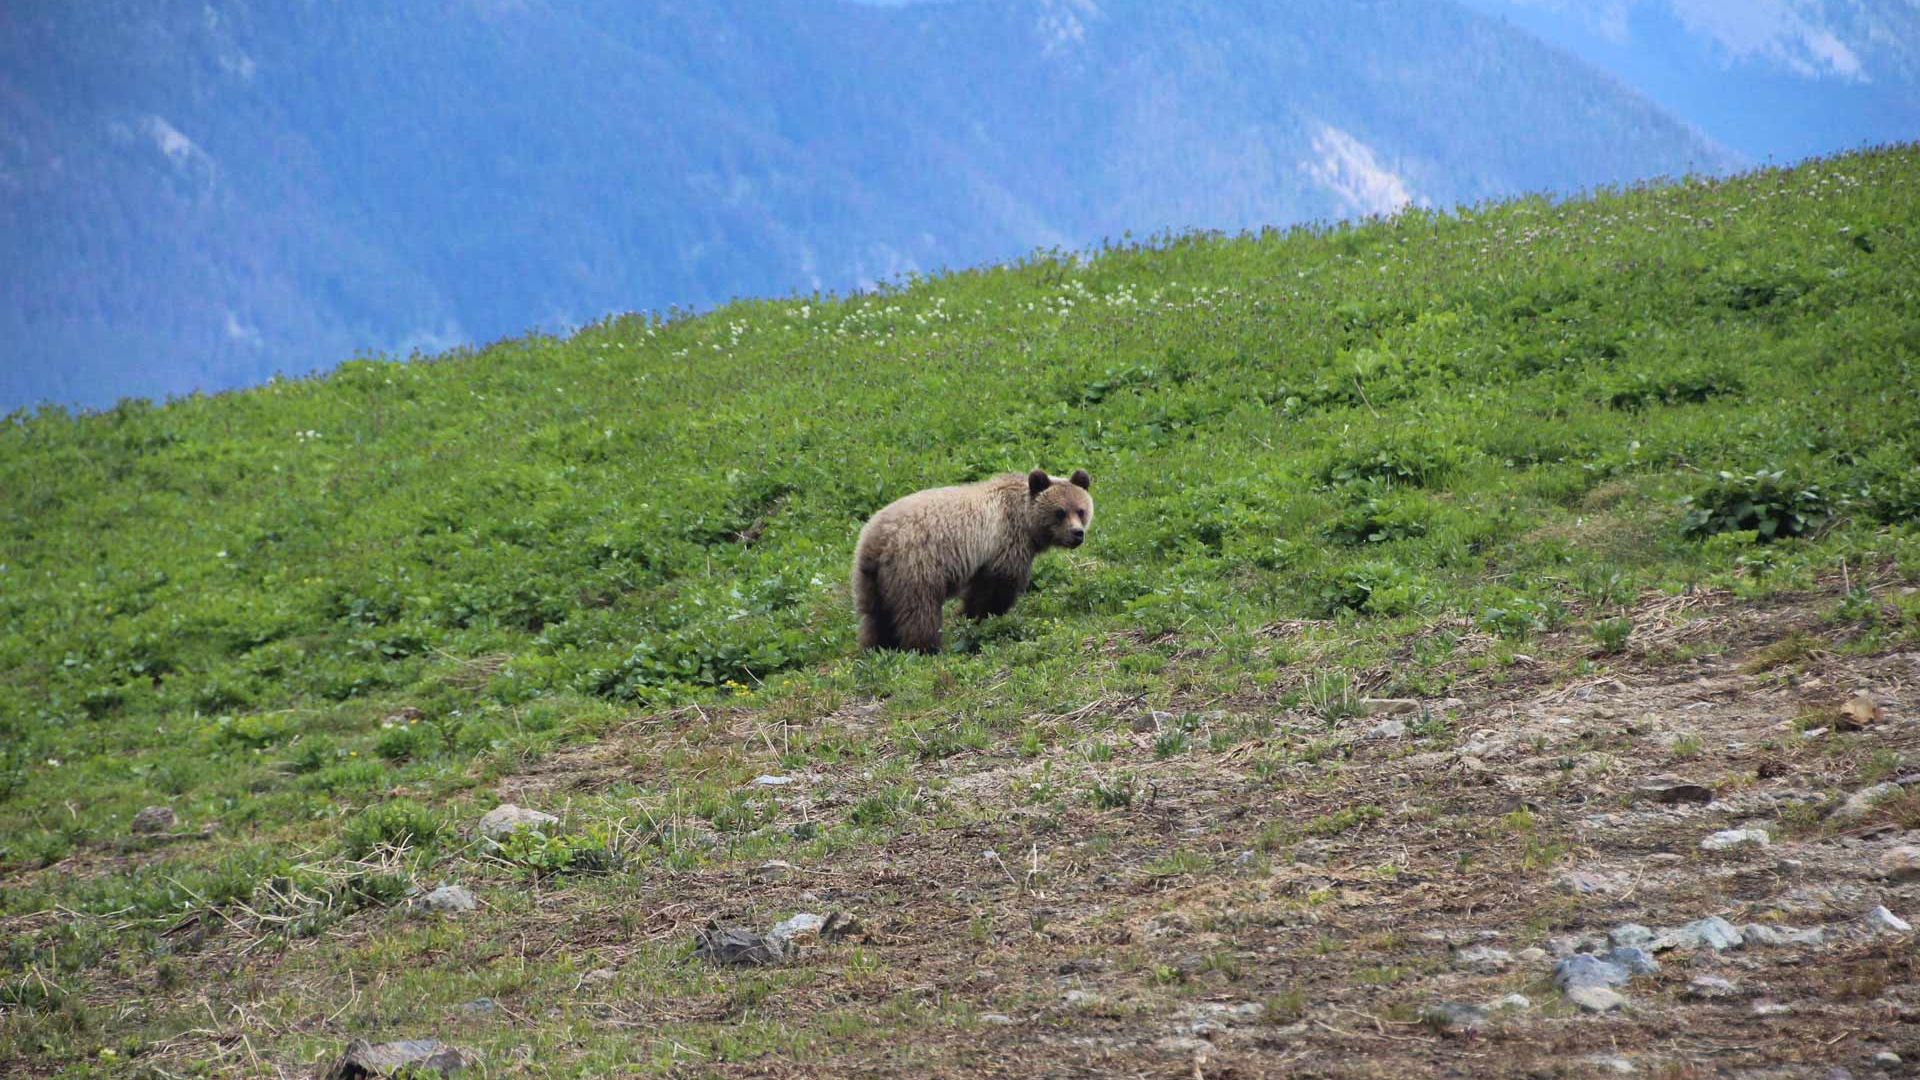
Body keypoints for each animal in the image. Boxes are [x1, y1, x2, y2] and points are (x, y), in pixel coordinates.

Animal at [856, 466, 1098, 653]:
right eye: (1060, 512)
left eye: (1080, 510)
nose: (1077, 533)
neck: (1027, 524)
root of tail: (877, 538)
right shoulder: (1005, 542)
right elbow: (995, 588)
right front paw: (977, 617)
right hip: (917, 564)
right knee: (919, 610)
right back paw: (927, 647)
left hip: (872, 578)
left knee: (875, 616)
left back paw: (878, 646)